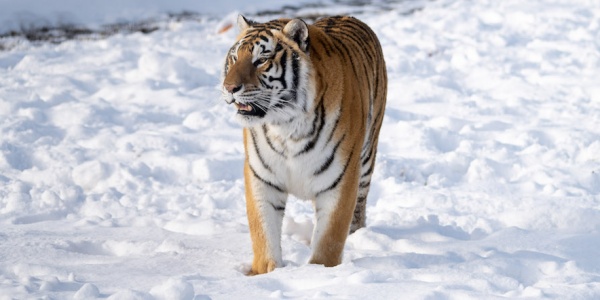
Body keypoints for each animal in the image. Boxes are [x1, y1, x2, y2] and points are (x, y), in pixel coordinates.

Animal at [223, 15, 386, 276]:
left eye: (261, 60)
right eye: (235, 58)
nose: (229, 89)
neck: (286, 126)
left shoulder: (340, 179)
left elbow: (329, 238)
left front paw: (319, 272)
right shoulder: (262, 178)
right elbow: (263, 231)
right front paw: (264, 272)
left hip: (366, 158)